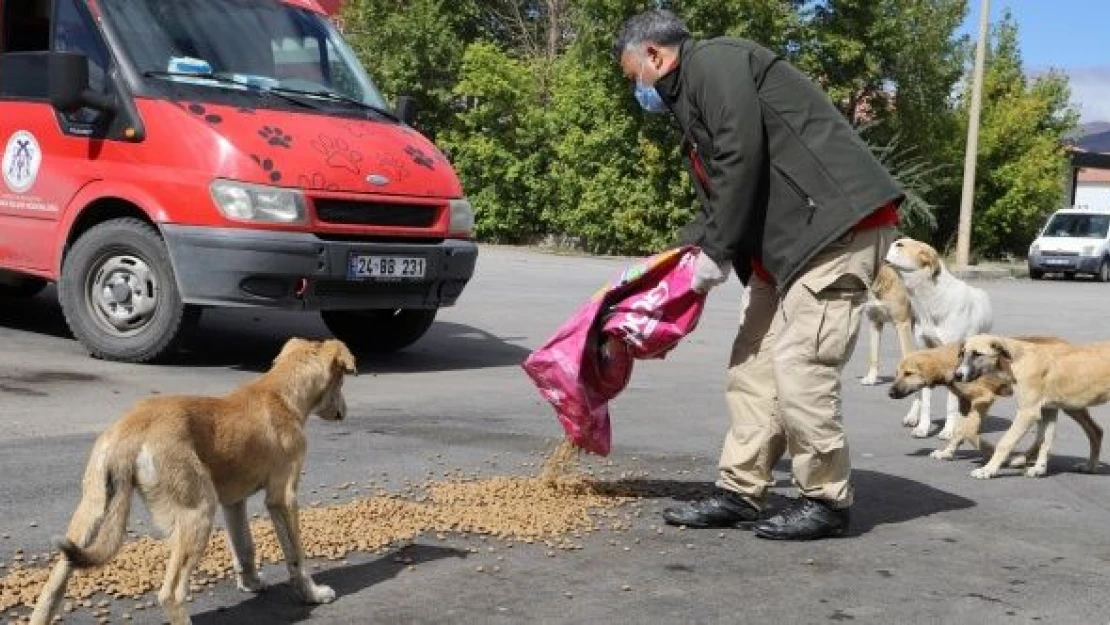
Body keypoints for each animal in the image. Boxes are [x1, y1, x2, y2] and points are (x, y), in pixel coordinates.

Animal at [31, 339, 355, 621]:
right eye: (341, 382)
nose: (345, 411)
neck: (281, 393)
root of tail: (132, 429)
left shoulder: (234, 503)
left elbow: (245, 547)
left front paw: (250, 583)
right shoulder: (283, 498)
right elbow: (296, 556)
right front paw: (313, 594)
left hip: (91, 510)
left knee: (52, 587)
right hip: (198, 511)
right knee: (171, 594)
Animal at [883, 337, 1074, 464]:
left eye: (908, 373)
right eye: (896, 374)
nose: (890, 393)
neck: (951, 363)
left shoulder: (984, 398)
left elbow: (968, 430)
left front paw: (987, 449)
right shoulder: (965, 403)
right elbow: (960, 429)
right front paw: (948, 452)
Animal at [950, 337, 1105, 479]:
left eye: (977, 354)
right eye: (962, 353)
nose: (957, 375)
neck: (1016, 360)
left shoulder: (1027, 412)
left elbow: (1005, 442)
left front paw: (989, 470)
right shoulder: (1048, 410)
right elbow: (1045, 441)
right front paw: (1039, 469)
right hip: (1071, 405)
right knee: (1095, 431)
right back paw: (1090, 466)